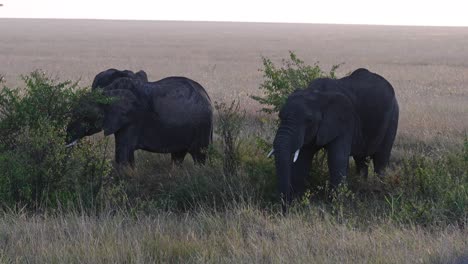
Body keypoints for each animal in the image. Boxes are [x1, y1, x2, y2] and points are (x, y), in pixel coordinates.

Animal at [65, 76, 212, 166]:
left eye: (85, 117)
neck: (108, 91)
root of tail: (207, 96)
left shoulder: (132, 118)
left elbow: (123, 153)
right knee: (178, 156)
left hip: (202, 126)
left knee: (199, 156)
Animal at [270, 67, 398, 204]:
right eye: (280, 116)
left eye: (309, 120)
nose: (285, 206)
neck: (317, 94)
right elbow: (302, 160)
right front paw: (298, 202)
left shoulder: (345, 121)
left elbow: (337, 159)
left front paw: (336, 204)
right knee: (360, 159)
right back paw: (361, 186)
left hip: (393, 117)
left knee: (381, 158)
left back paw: (380, 189)